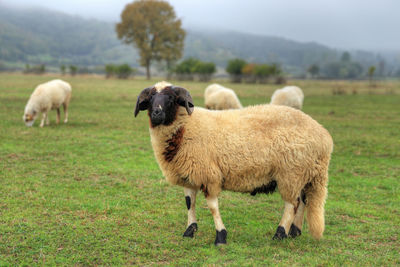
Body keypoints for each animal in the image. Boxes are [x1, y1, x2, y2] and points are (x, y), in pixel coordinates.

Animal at [134, 82, 334, 247]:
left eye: (171, 98)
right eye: (150, 98)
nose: (157, 113)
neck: (185, 127)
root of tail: (324, 137)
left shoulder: (209, 175)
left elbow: (213, 207)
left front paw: (220, 237)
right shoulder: (189, 174)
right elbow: (190, 203)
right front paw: (189, 231)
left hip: (291, 172)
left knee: (292, 204)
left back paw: (280, 233)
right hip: (302, 172)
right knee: (303, 201)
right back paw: (294, 231)